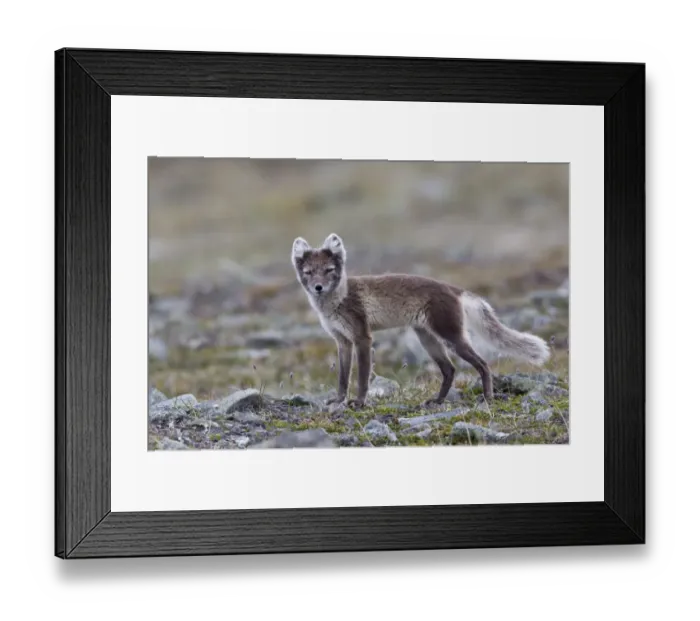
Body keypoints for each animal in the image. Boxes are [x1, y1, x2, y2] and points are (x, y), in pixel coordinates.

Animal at [291, 233, 550, 409]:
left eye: (329, 270)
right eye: (308, 272)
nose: (318, 287)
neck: (338, 300)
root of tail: (453, 288)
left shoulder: (362, 338)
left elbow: (363, 376)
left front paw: (359, 402)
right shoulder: (342, 341)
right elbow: (343, 377)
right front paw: (339, 399)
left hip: (451, 337)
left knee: (483, 364)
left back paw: (487, 398)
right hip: (428, 339)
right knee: (450, 369)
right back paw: (438, 401)